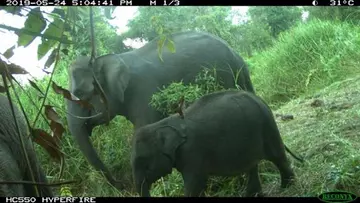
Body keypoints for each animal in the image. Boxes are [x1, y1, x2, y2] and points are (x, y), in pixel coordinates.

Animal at [66, 30, 255, 190]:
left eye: (80, 93)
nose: (122, 185)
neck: (111, 58)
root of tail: (235, 53)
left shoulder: (144, 93)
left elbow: (144, 131)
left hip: (222, 75)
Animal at [131, 90, 302, 197]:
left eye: (142, 161)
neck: (160, 125)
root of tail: (258, 98)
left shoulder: (192, 153)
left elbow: (195, 184)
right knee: (252, 165)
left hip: (267, 126)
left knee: (277, 157)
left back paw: (287, 186)